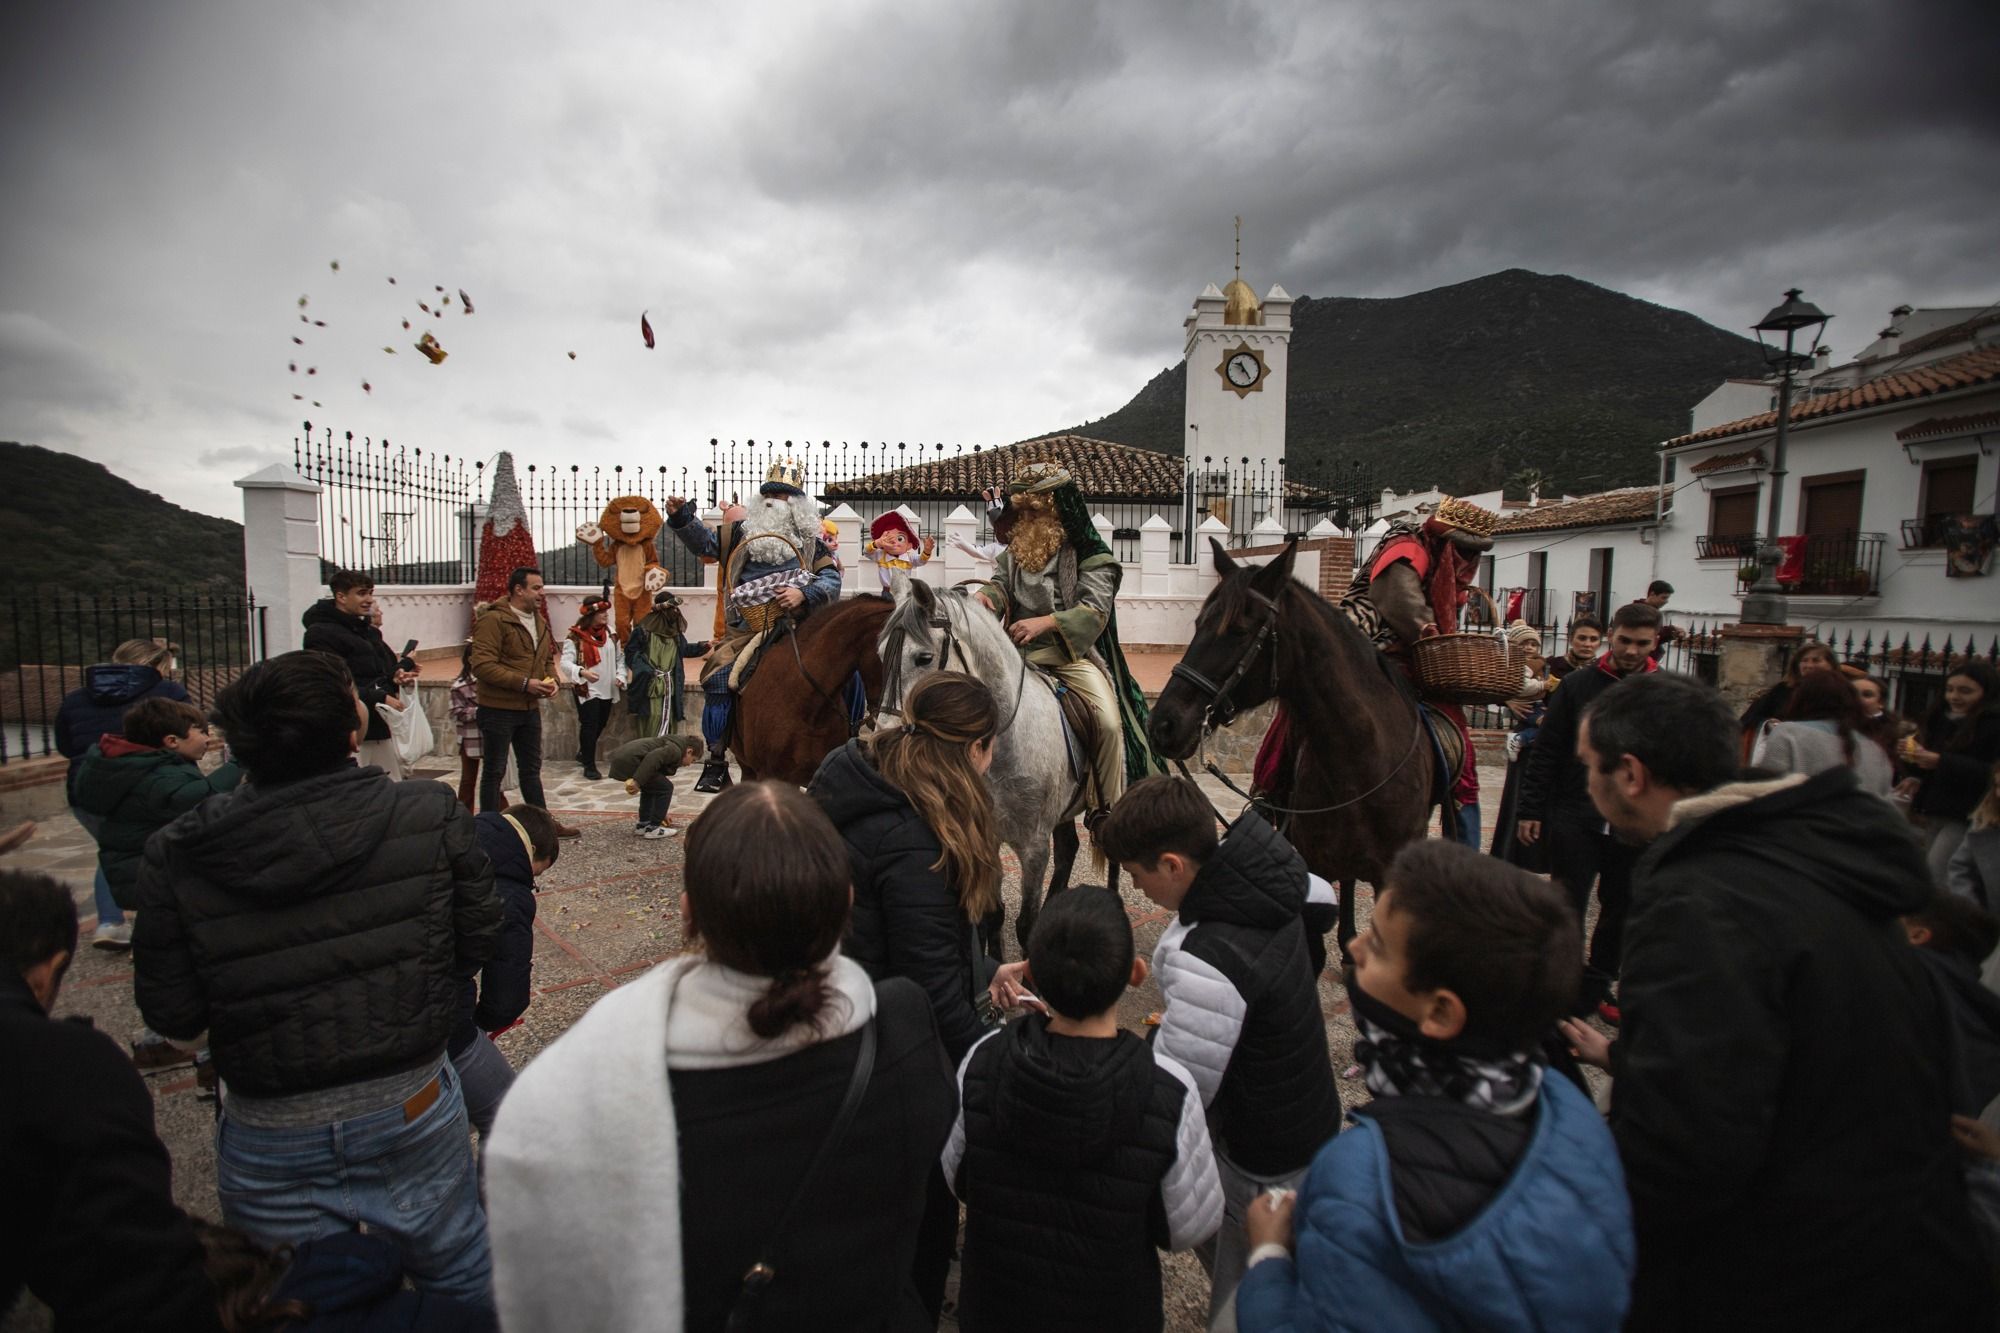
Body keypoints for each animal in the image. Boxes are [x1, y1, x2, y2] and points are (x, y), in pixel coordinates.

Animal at [884, 572, 1112, 956]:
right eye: (880, 654)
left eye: (923, 658)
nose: (882, 737)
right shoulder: (986, 838)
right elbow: (994, 914)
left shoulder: (1034, 846)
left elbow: (1024, 923)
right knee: (1069, 848)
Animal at [1144, 536, 1440, 948]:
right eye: (1199, 624)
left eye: (1238, 630)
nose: (1162, 724)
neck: (1362, 763)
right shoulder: (1315, 864)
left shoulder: (1388, 877)